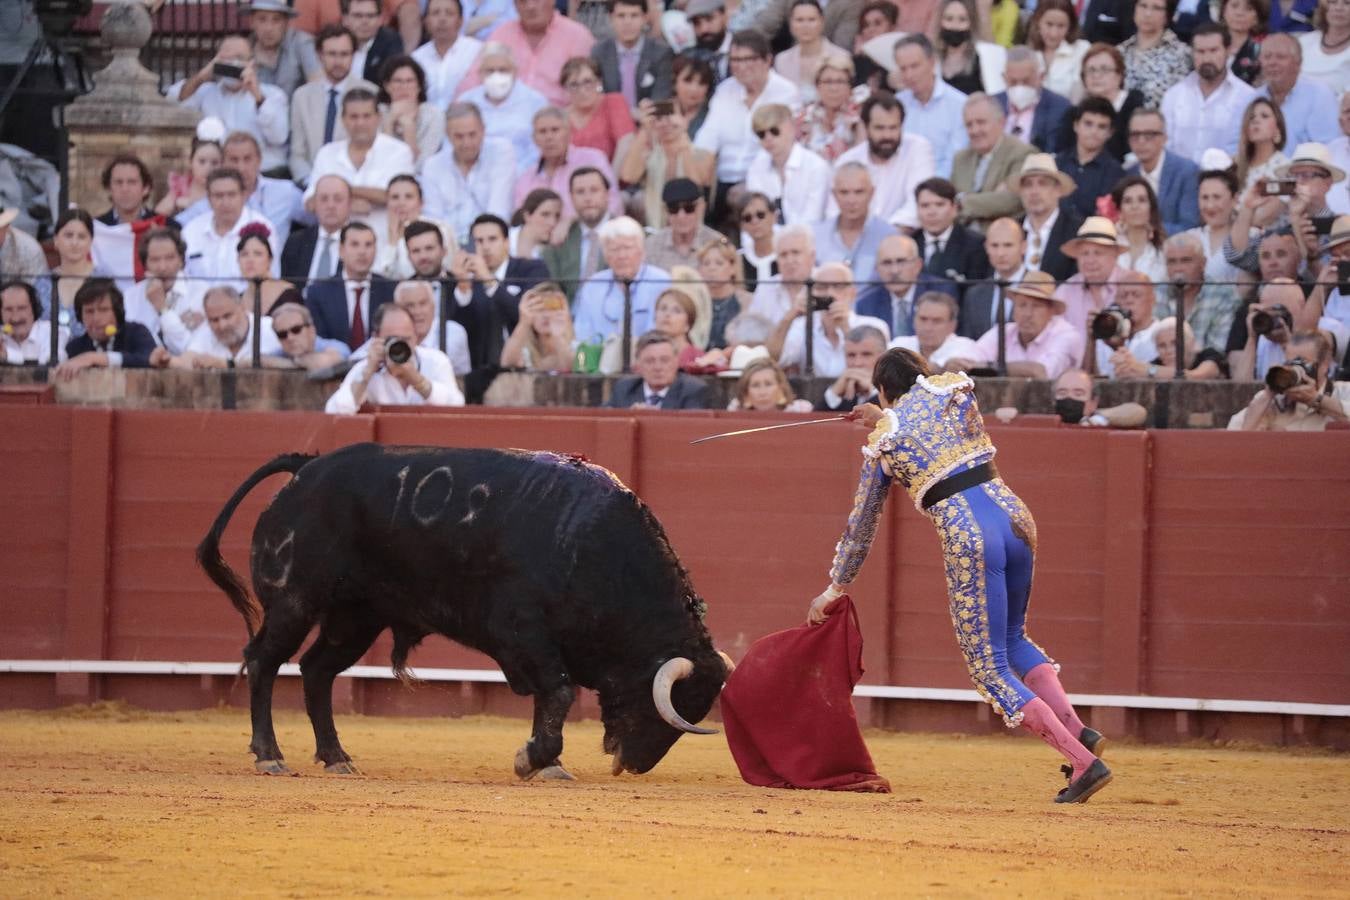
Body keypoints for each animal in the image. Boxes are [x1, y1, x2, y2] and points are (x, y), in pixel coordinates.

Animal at [195, 442, 734, 782]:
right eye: (661, 706)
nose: (634, 765)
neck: (593, 548)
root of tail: (306, 468)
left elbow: (550, 696)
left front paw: (547, 762)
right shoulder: (522, 631)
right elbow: (558, 692)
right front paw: (533, 759)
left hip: (356, 618)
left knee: (316, 670)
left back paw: (336, 757)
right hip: (294, 601)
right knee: (265, 661)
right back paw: (270, 756)